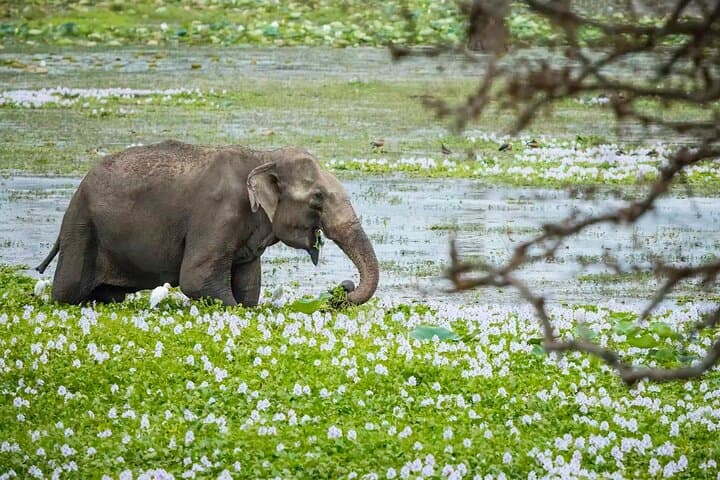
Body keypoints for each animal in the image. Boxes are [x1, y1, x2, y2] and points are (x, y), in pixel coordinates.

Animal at [36, 140, 379, 306]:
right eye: (317, 198)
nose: (341, 289)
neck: (262, 156)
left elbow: (248, 283)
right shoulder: (217, 213)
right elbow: (196, 279)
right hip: (81, 227)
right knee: (68, 291)